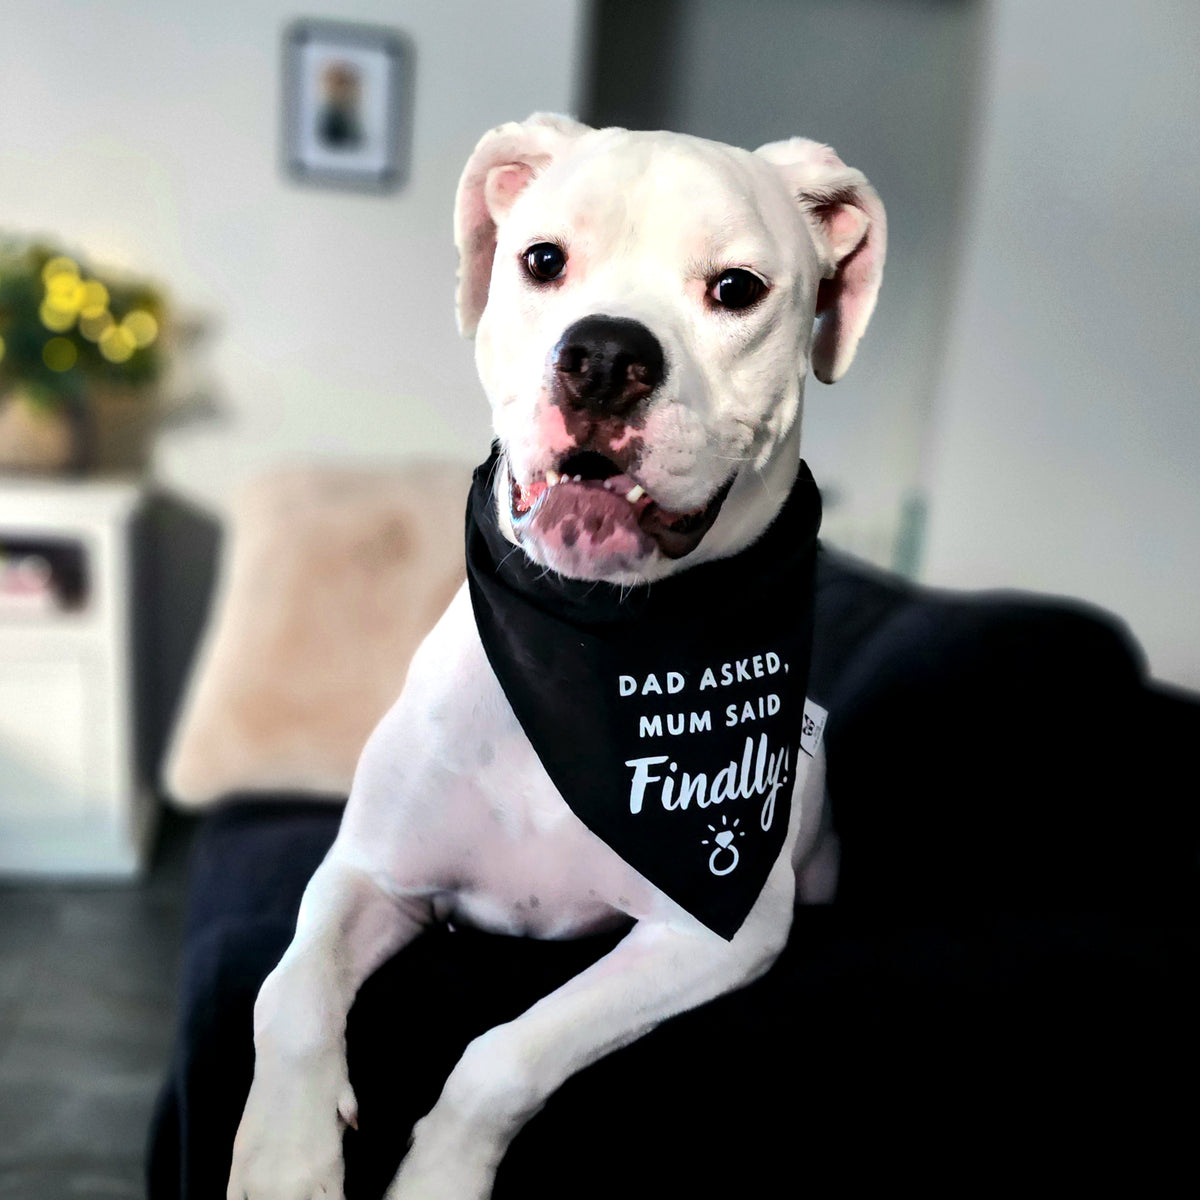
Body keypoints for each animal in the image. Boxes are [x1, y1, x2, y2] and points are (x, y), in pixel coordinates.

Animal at [226, 114, 883, 1200]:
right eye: (542, 261)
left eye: (736, 287)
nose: (605, 355)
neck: (586, 641)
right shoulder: (372, 874)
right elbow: (289, 994)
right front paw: (285, 1157)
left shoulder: (711, 932)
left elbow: (504, 1055)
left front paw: (436, 1182)